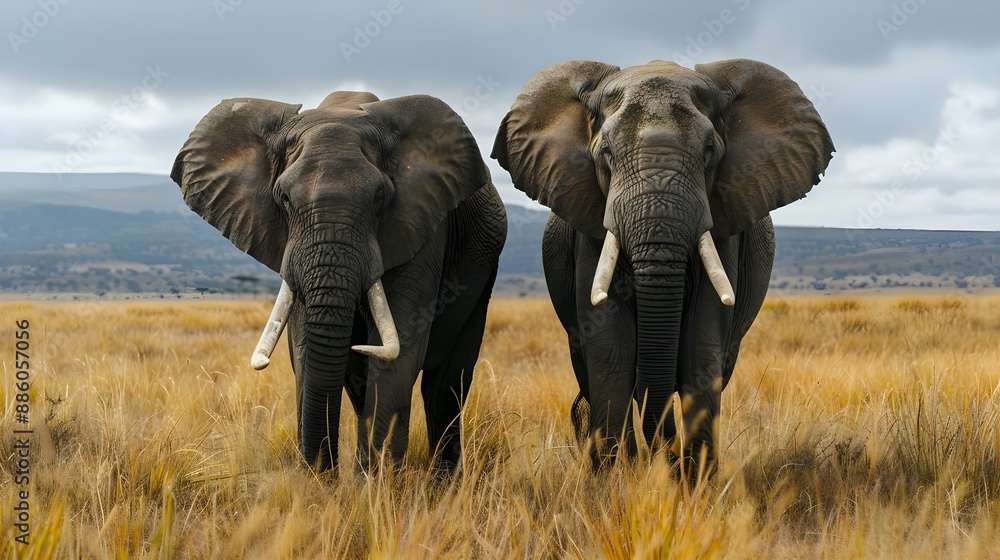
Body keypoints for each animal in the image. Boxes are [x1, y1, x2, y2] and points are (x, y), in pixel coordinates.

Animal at [171, 90, 507, 474]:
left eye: (380, 197)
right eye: (283, 198)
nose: (324, 472)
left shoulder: (424, 226)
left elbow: (402, 343)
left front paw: (378, 484)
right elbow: (304, 349)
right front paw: (326, 483)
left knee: (446, 383)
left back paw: (443, 481)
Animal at [492, 59, 833, 471]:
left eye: (709, 151)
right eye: (606, 153)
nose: (665, 459)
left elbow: (701, 342)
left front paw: (696, 480)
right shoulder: (590, 226)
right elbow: (609, 346)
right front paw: (617, 479)